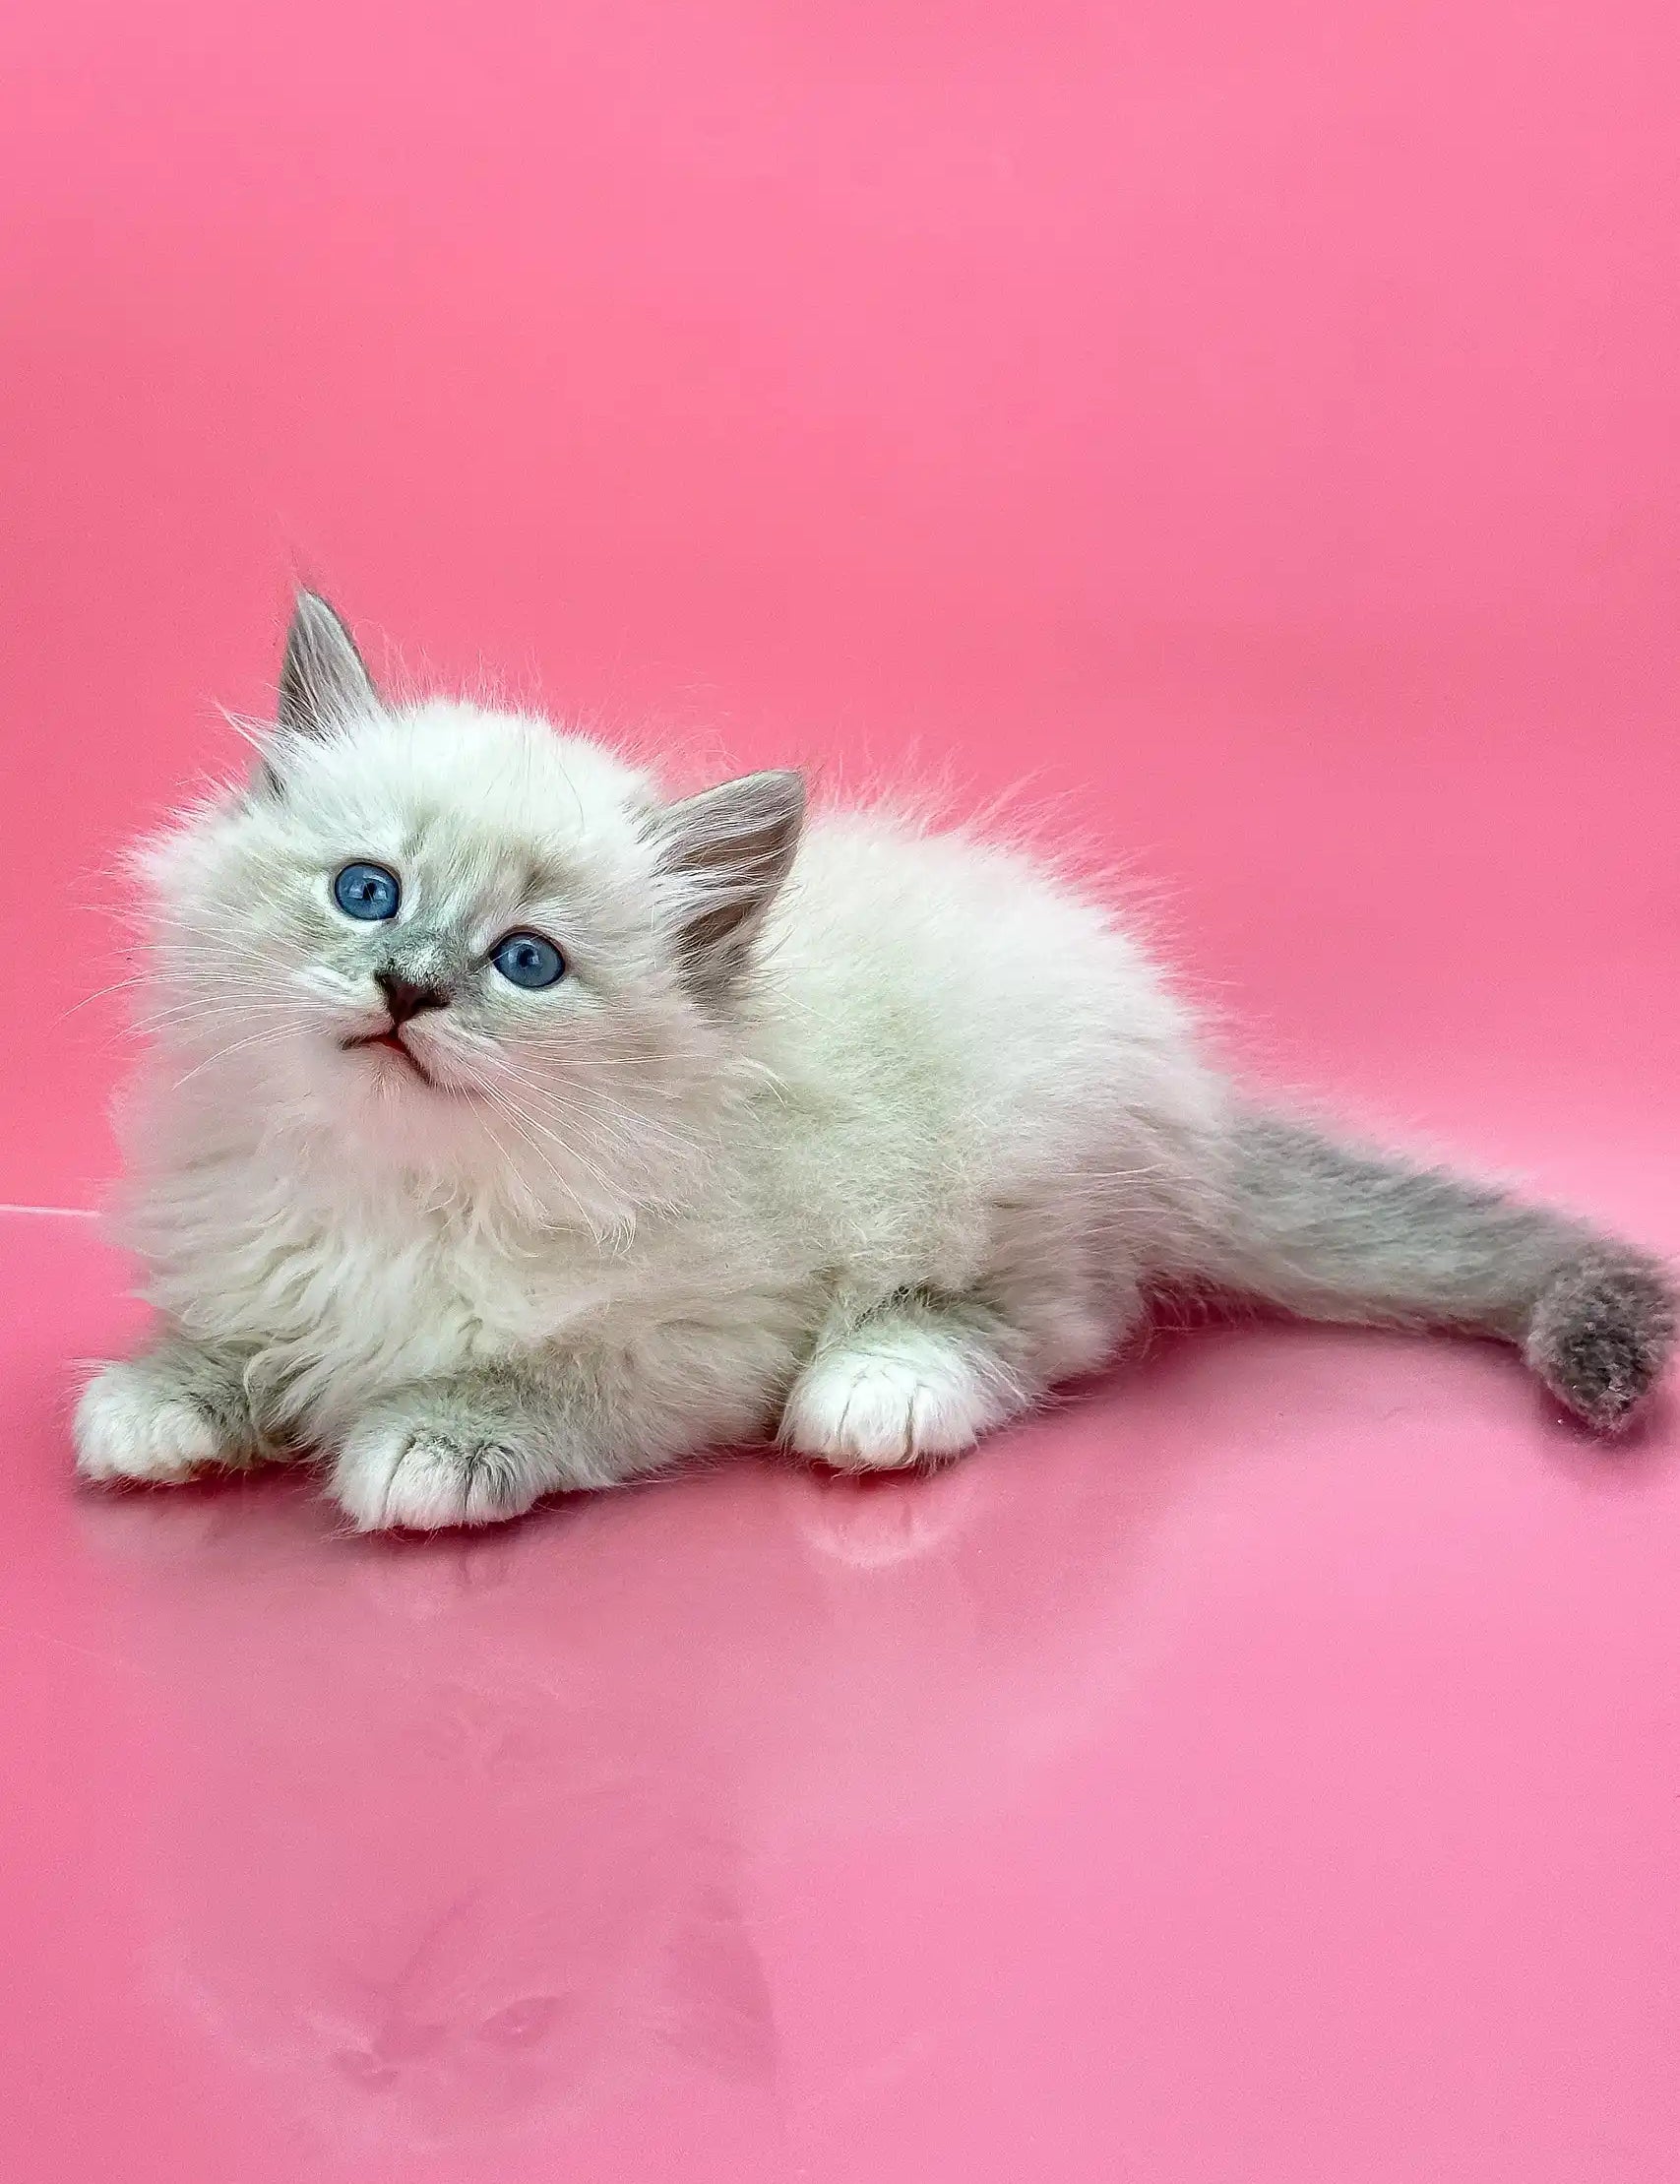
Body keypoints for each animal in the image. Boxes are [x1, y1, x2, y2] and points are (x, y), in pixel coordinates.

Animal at [75, 590, 1660, 1529]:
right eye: (368, 892)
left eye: (527, 962)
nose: (407, 988)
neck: (399, 1193)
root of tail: (1199, 1097)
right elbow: (220, 1342)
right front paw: (164, 1397)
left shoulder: (699, 1340)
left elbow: (539, 1390)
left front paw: (426, 1443)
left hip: (1011, 1172)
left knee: (1054, 1328)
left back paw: (881, 1387)